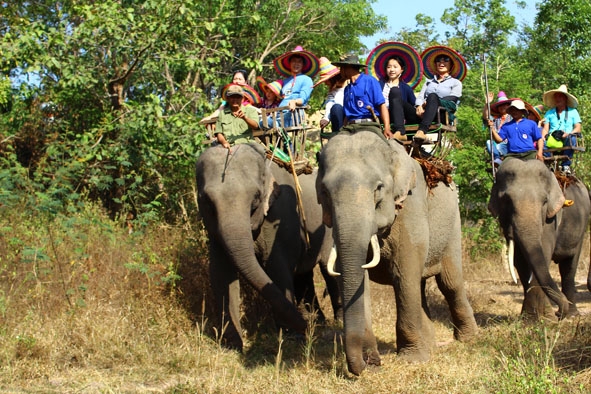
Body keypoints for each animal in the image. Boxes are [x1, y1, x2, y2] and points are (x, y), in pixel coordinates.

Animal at [197, 142, 340, 350]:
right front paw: (232, 344)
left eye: (256, 197)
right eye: (207, 200)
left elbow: (276, 266)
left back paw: (335, 322)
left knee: (327, 270)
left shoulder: (280, 215)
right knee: (303, 275)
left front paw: (288, 335)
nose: (306, 330)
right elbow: (220, 272)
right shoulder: (212, 226)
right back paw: (319, 322)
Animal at [316, 132, 478, 376]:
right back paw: (431, 344)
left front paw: (413, 359)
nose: (369, 364)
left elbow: (404, 273)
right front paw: (374, 362)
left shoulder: (411, 207)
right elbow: (360, 279)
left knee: (450, 283)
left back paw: (468, 339)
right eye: (325, 192)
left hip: (453, 225)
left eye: (378, 188)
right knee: (420, 285)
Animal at [488, 158, 588, 320]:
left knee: (569, 268)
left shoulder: (551, 220)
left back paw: (571, 315)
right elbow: (519, 261)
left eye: (545, 201)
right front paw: (530, 319)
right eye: (506, 201)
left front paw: (544, 319)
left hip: (582, 227)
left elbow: (544, 254)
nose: (559, 313)